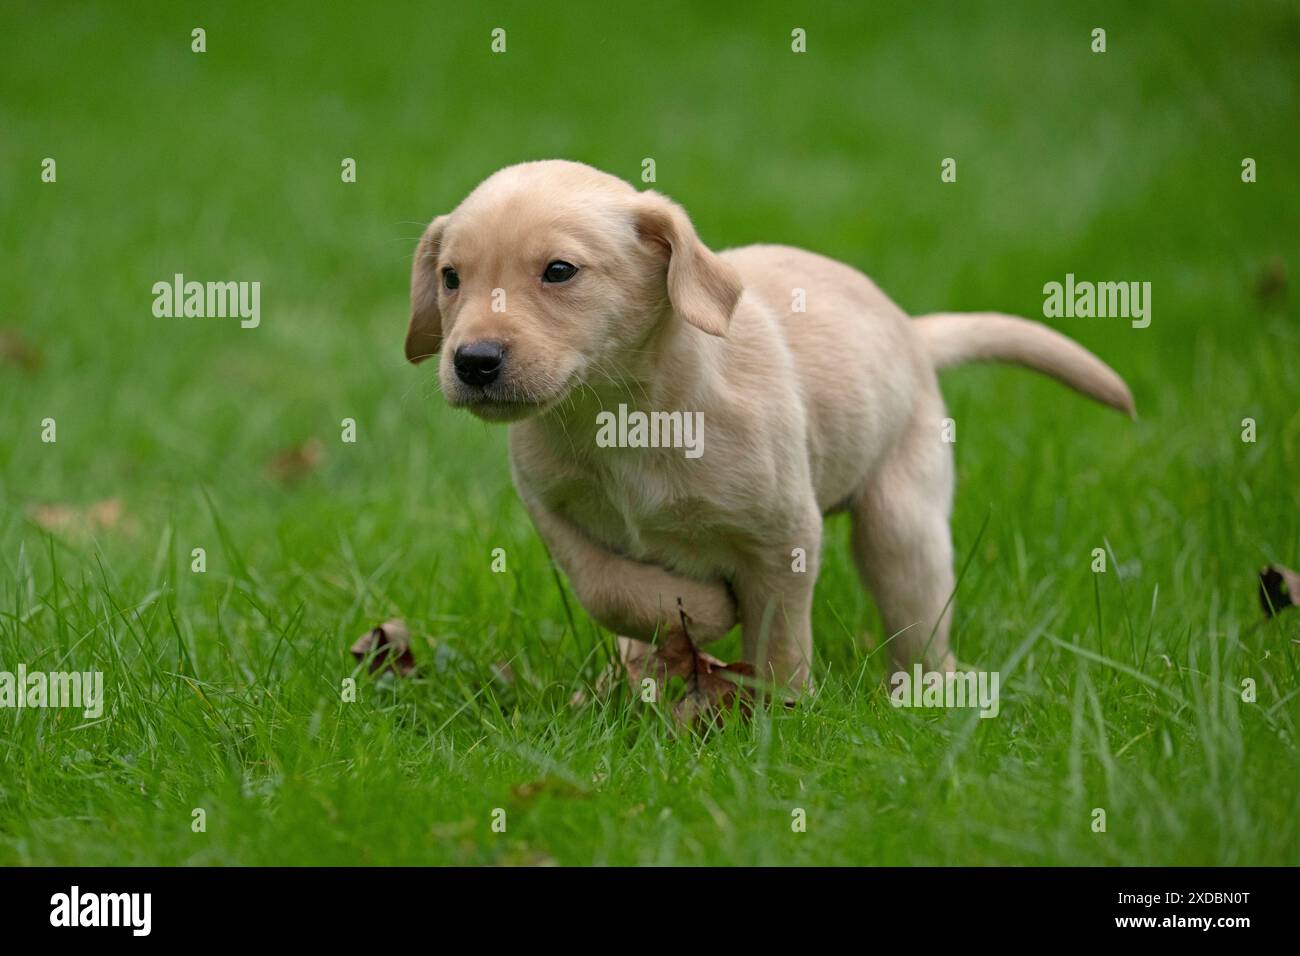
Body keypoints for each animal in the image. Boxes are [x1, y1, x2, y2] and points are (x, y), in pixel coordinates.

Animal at [403, 160, 1128, 691]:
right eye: (450, 278)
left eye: (558, 271)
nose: (472, 361)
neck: (622, 412)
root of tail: (911, 333)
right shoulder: (556, 514)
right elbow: (611, 589)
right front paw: (696, 613)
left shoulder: (781, 537)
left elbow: (777, 638)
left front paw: (776, 713)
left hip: (902, 520)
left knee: (919, 620)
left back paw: (931, 689)